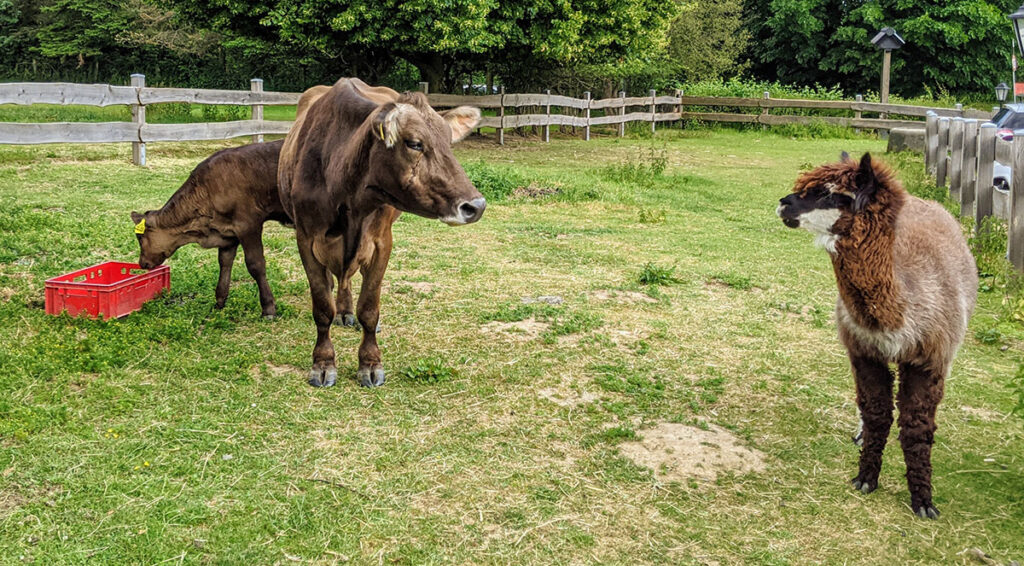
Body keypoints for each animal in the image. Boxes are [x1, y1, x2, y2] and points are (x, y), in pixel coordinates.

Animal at [276, 78, 483, 388]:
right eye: (414, 143)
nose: (476, 206)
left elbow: (369, 308)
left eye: (449, 142)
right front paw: (323, 363)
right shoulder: (306, 239)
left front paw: (370, 363)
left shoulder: (381, 242)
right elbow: (322, 307)